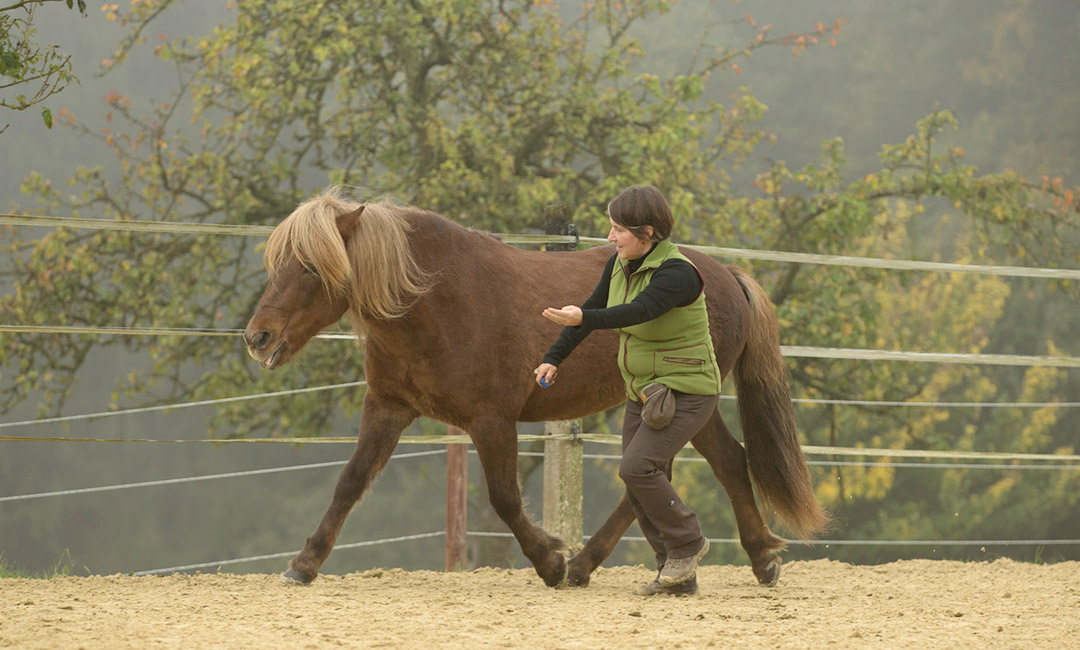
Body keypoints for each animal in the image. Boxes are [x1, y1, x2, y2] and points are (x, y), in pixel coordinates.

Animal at [247, 185, 825, 587]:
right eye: (277, 262)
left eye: (309, 266)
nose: (258, 336)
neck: (436, 301)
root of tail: (726, 275)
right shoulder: (388, 408)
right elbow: (349, 482)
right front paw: (303, 564)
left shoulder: (491, 421)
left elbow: (504, 498)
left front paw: (549, 559)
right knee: (703, 465)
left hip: (683, 399)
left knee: (694, 468)